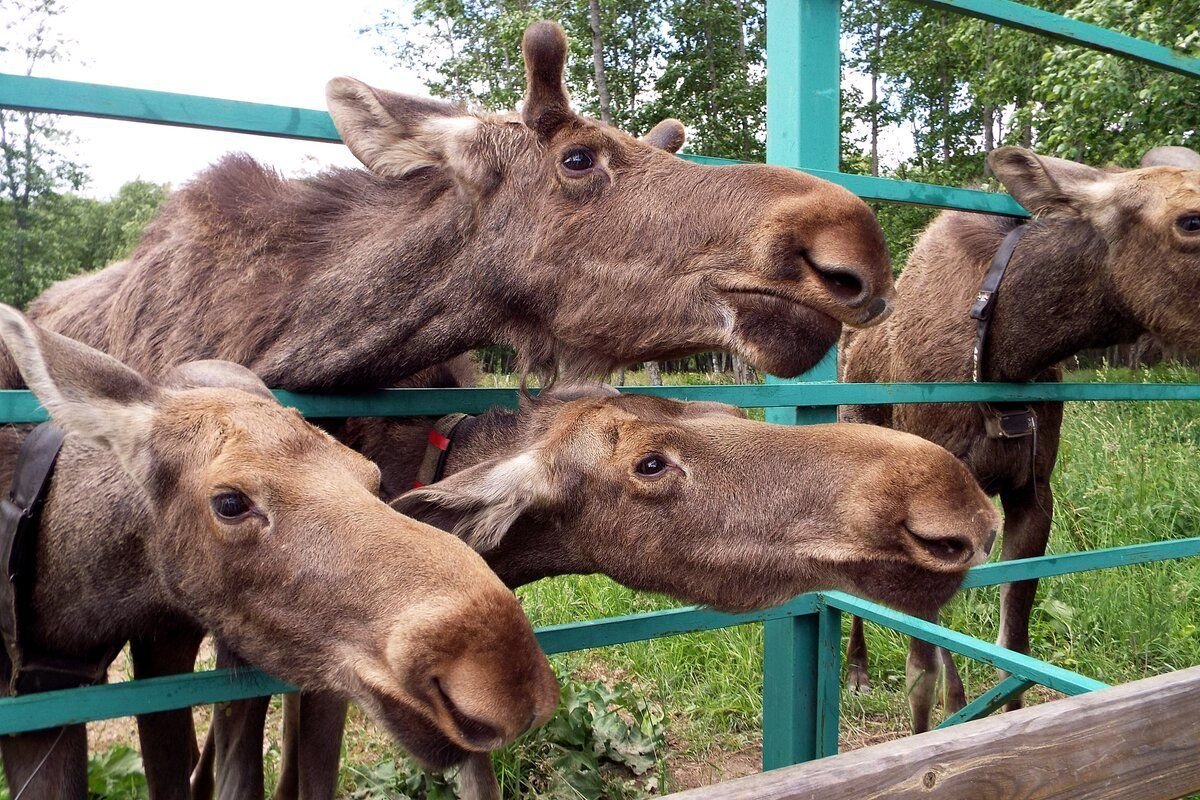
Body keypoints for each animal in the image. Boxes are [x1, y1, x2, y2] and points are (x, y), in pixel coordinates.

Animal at [840, 142, 1200, 734]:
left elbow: (1014, 652)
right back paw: (857, 669)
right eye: (1190, 220)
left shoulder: (1034, 491)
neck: (1009, 353)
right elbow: (924, 668)